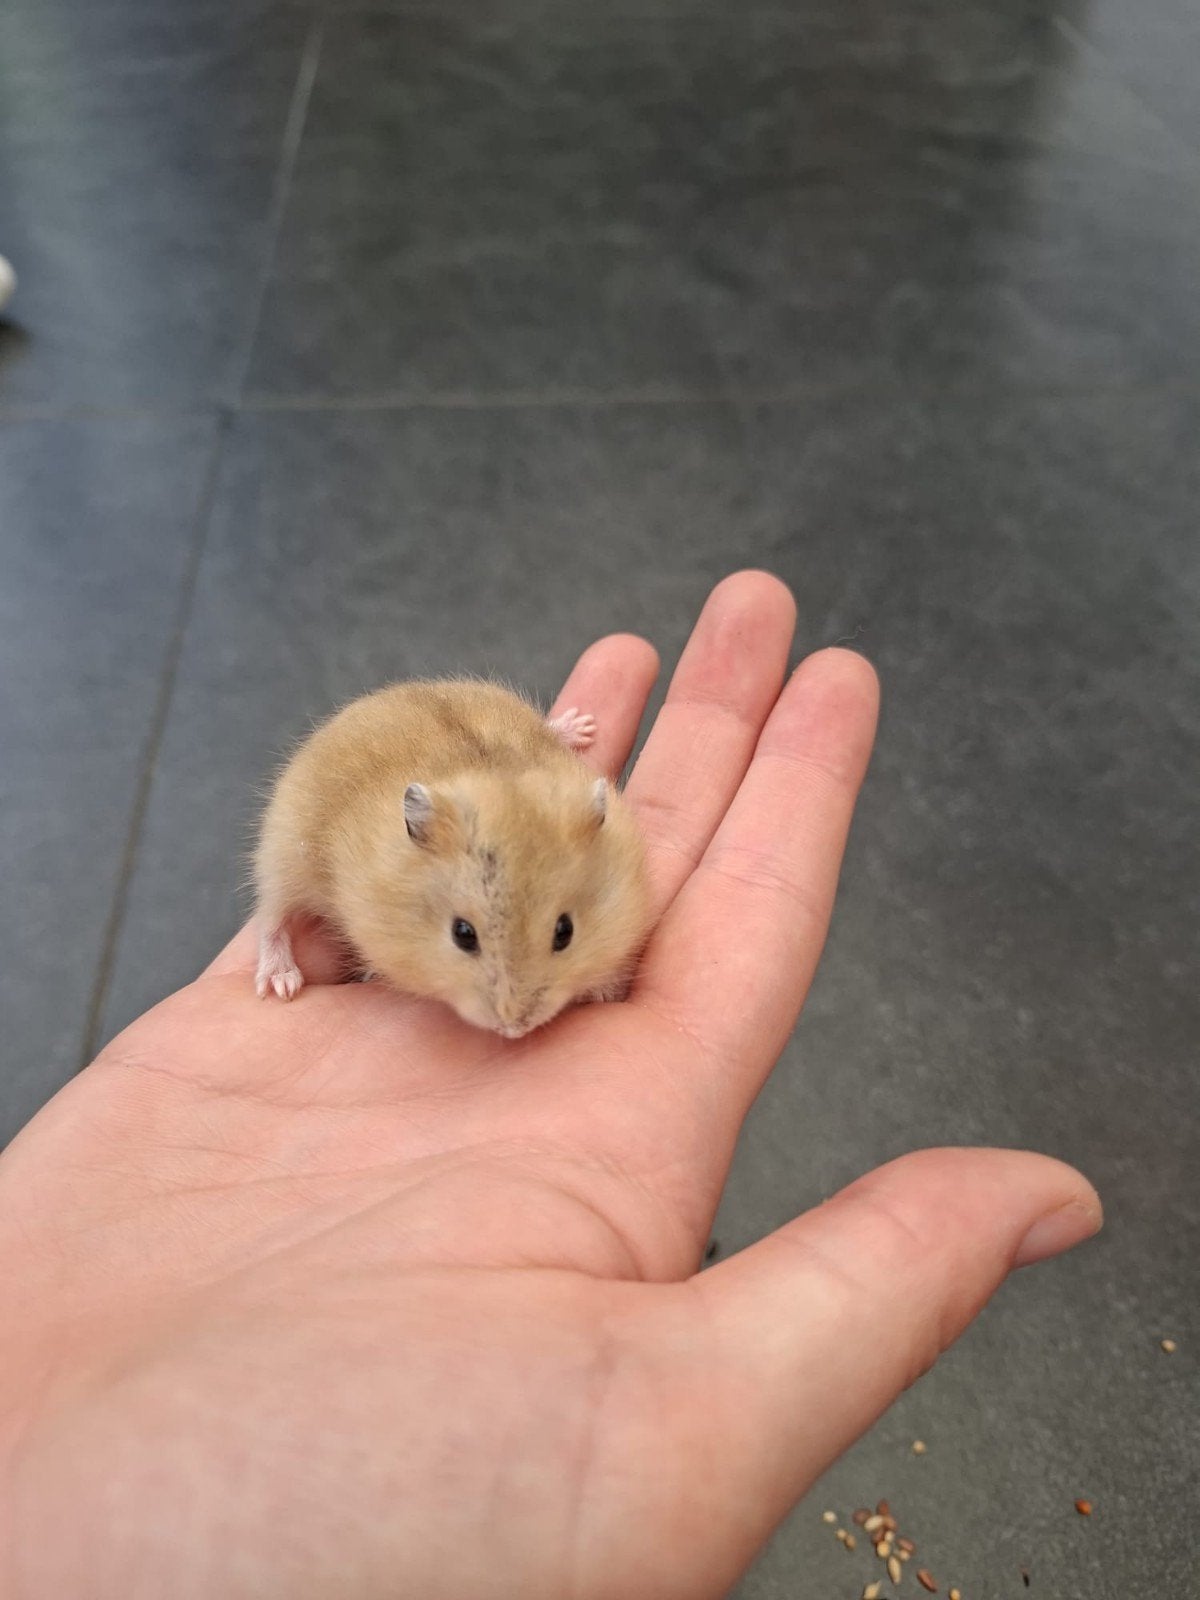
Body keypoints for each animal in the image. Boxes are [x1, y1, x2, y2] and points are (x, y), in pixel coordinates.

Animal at [253, 679, 652, 1038]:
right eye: (463, 934)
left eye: (565, 932)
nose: (514, 1028)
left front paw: (603, 991)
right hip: (282, 851)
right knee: (272, 916)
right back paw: (281, 985)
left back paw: (578, 726)